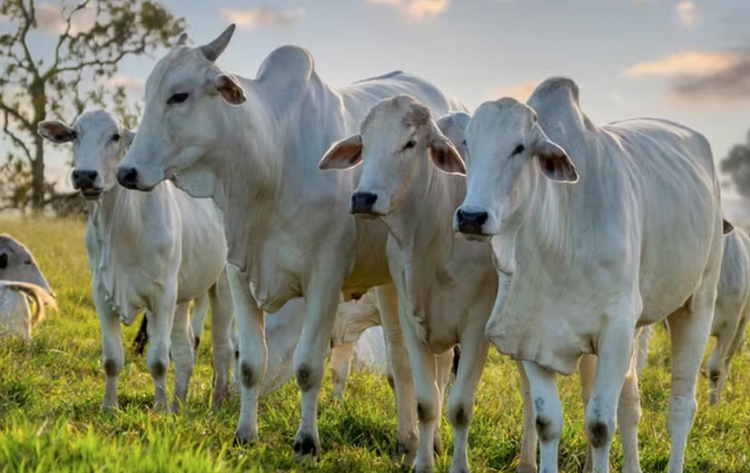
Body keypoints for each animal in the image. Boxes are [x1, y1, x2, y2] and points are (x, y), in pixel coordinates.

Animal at [37, 109, 235, 412]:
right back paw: (178, 404)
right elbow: (112, 359)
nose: (85, 175)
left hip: (222, 285)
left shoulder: (162, 294)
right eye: (74, 134)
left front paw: (160, 409)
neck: (120, 228)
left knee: (223, 349)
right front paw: (109, 406)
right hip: (183, 295)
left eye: (115, 136)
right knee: (185, 350)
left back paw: (216, 405)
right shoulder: (103, 293)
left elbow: (158, 360)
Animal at [320, 97, 496, 470]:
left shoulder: (478, 325)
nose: (363, 198)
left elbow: (461, 407)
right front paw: (422, 461)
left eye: (411, 143)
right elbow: (425, 400)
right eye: (364, 140)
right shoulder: (409, 315)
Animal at [440, 78, 728, 472]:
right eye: (468, 143)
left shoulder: (615, 330)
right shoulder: (528, 334)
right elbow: (547, 422)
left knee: (682, 407)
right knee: (630, 401)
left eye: (519, 148)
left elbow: (599, 427)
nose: (471, 216)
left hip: (697, 303)